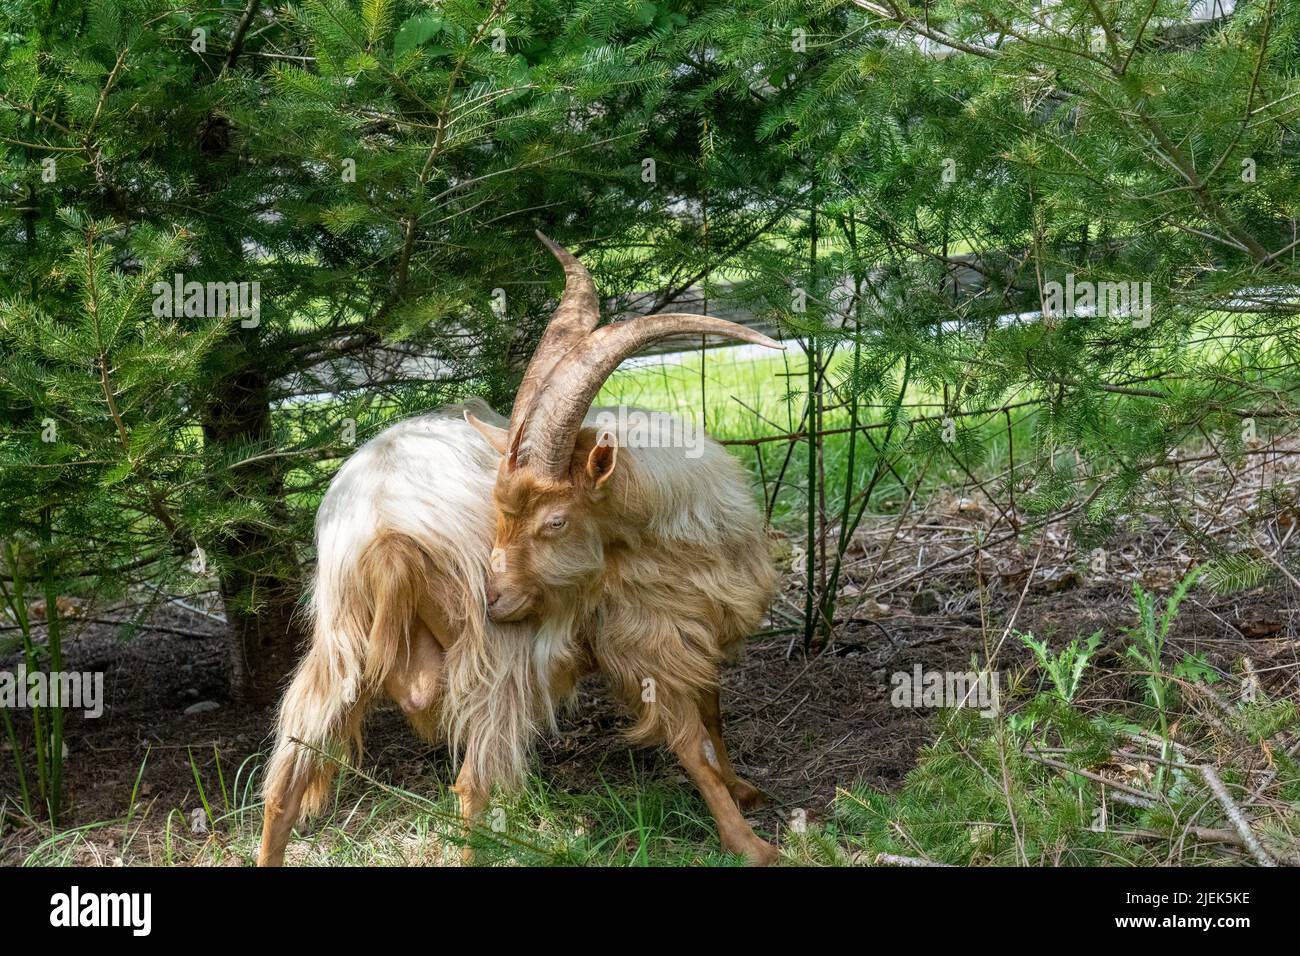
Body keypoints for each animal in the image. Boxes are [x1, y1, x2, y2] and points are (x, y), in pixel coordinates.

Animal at [466, 234, 784, 864]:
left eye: (555, 521)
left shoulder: (695, 631)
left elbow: (714, 719)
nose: (494, 600)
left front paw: (744, 789)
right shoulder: (644, 645)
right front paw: (751, 845)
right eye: (499, 516)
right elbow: (691, 745)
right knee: (469, 773)